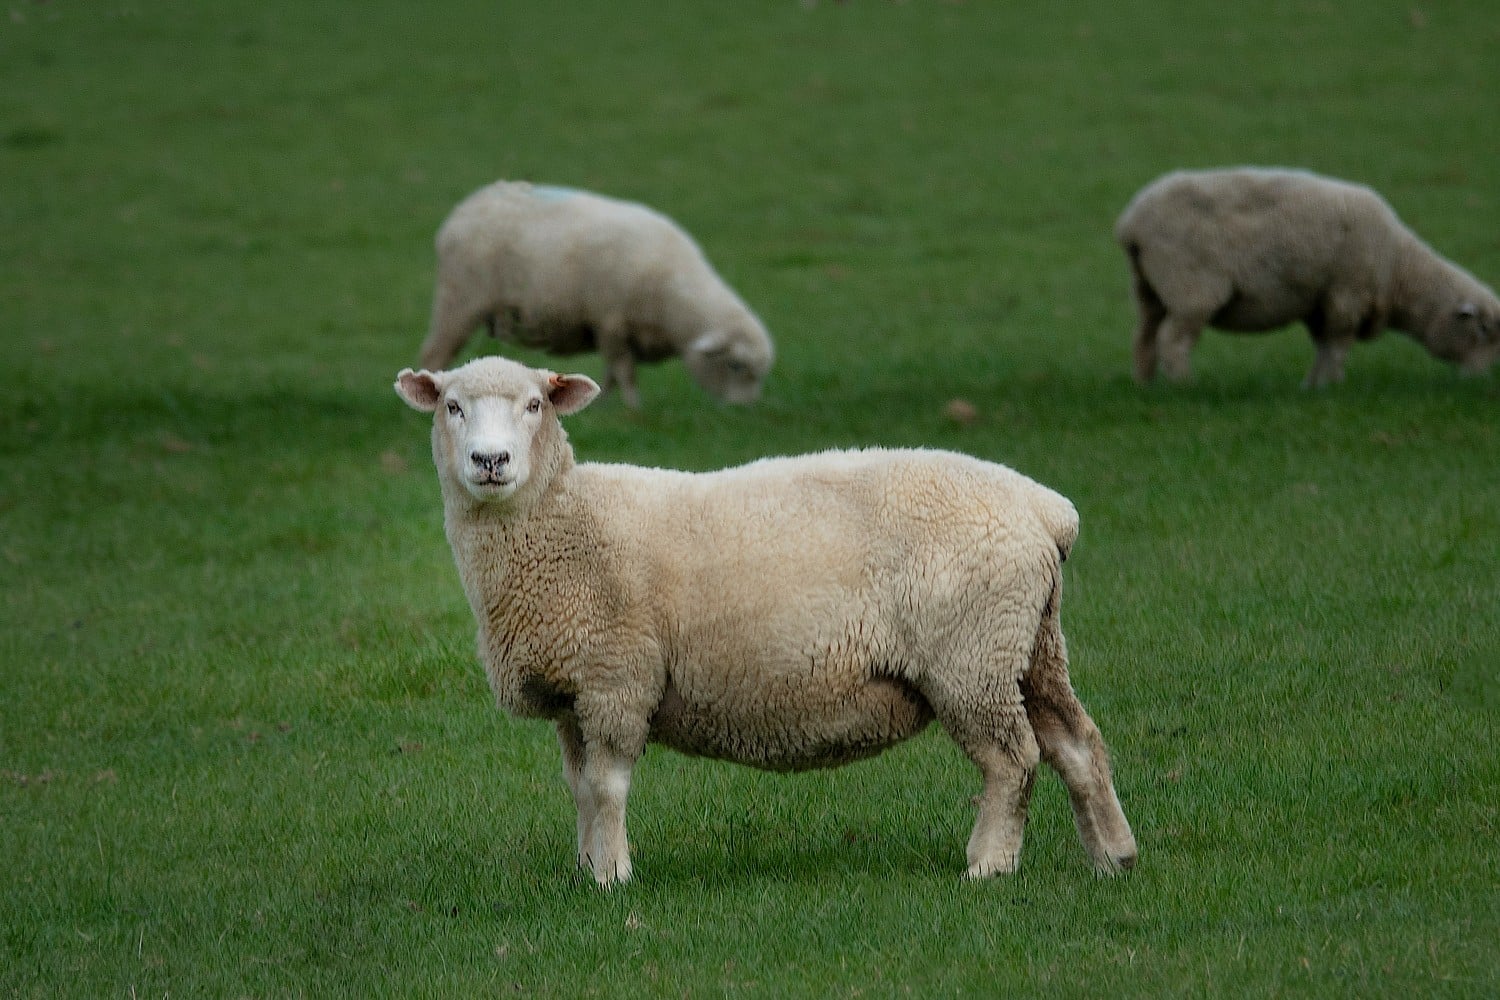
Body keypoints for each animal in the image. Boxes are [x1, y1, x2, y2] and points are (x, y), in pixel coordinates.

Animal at [394, 355, 1137, 886]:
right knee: (1077, 743)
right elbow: (579, 789)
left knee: (1013, 759)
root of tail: (1045, 510)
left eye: (535, 404)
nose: (491, 461)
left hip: (971, 654)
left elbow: (606, 787)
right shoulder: (575, 690)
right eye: (453, 406)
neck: (562, 522)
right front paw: (584, 869)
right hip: (1030, 643)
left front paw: (611, 876)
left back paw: (989, 865)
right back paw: (1113, 858)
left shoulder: (617, 676)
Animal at [416, 181, 775, 408]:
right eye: (735, 366)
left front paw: (601, 406)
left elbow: (611, 375)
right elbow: (624, 372)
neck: (673, 304)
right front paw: (634, 409)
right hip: (459, 299)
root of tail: (464, 209)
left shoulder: (616, 330)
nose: (744, 410)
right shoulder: (611, 322)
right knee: (433, 355)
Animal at [1116, 167, 1500, 387]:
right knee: (1173, 340)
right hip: (1191, 288)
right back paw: (1184, 385)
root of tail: (1132, 223)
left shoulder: (1320, 302)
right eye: (1482, 330)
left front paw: (1313, 386)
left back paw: (1146, 384)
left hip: (1149, 288)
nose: (1481, 380)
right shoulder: (1347, 295)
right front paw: (1332, 385)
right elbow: (1337, 346)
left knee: (1144, 336)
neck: (1400, 271)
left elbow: (1322, 345)